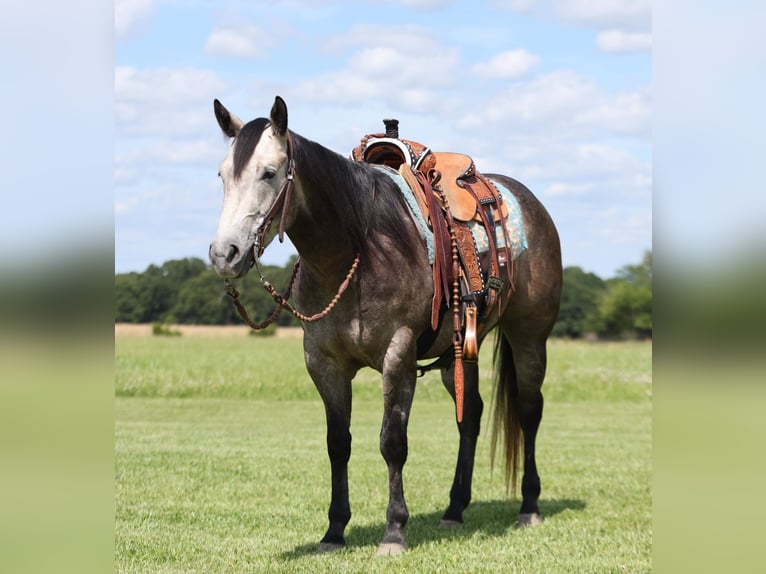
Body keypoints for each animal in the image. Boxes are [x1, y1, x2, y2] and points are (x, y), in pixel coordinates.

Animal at [210, 97, 564, 556]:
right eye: (222, 174)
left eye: (269, 173)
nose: (225, 254)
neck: (357, 250)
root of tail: (530, 201)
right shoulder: (323, 363)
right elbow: (337, 444)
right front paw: (334, 531)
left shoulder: (398, 355)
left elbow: (392, 442)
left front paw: (394, 531)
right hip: (459, 350)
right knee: (470, 416)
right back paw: (454, 510)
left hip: (530, 337)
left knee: (528, 411)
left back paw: (529, 506)